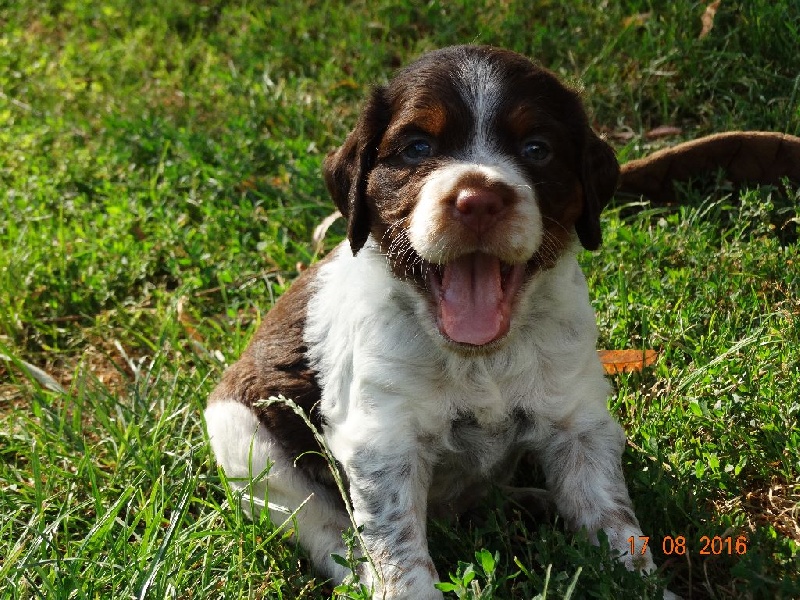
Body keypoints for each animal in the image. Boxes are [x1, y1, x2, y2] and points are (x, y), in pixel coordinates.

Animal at [204, 44, 800, 598]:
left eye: (537, 149)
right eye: (417, 148)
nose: (478, 201)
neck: (481, 358)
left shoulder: (578, 425)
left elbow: (613, 521)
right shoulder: (382, 446)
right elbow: (399, 554)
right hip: (252, 451)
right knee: (331, 534)